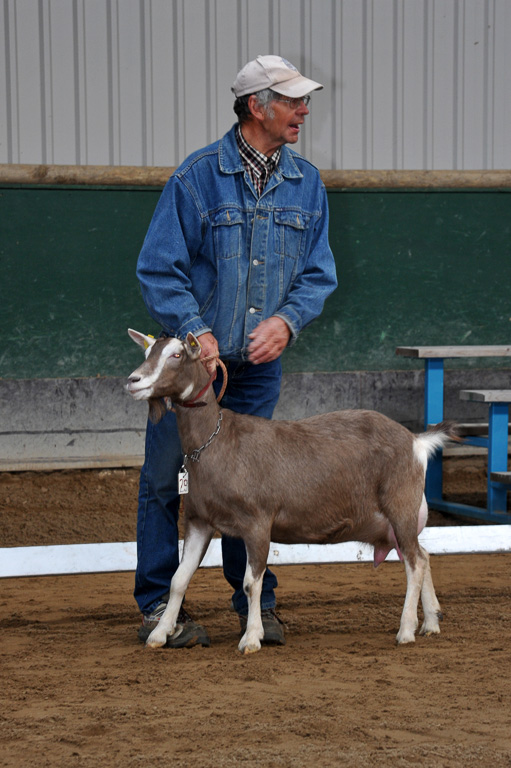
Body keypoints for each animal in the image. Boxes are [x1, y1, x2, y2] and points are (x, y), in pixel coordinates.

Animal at [126, 330, 458, 656]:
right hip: (400, 519)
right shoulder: (199, 521)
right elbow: (178, 579)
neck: (217, 441)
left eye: (176, 355)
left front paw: (252, 637)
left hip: (400, 505)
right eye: (147, 353)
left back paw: (406, 631)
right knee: (422, 555)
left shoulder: (257, 522)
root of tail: (415, 441)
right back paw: (431, 623)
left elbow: (251, 583)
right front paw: (160, 633)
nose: (133, 380)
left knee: (414, 563)